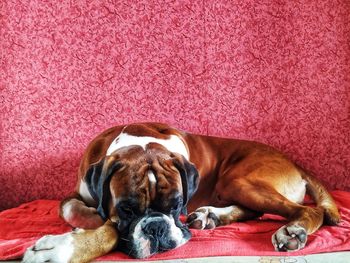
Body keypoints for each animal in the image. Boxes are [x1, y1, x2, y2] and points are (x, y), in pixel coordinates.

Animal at [21, 124, 340, 263]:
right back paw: (211, 216)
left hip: (238, 179)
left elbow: (110, 231)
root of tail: (295, 163)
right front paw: (86, 221)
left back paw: (293, 231)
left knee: (309, 210)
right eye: (127, 209)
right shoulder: (81, 191)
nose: (157, 227)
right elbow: (68, 207)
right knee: (256, 211)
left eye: (176, 206)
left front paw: (62, 247)